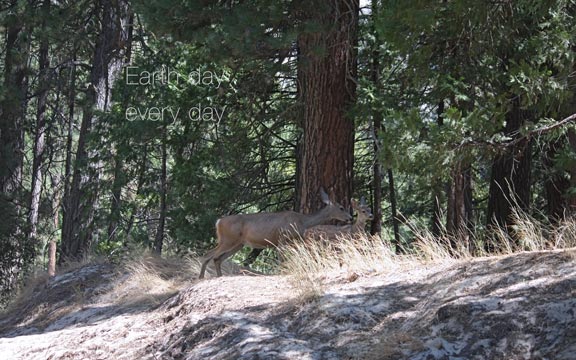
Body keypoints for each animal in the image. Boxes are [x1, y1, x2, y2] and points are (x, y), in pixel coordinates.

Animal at [198, 188, 352, 278]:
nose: (350, 217)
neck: (302, 222)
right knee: (209, 255)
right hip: (228, 239)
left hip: (238, 244)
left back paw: (218, 277)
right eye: (341, 207)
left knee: (217, 258)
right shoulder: (282, 238)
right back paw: (202, 277)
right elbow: (281, 260)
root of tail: (218, 222)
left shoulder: (293, 241)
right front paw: (282, 273)